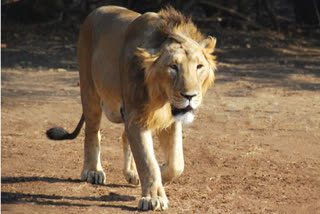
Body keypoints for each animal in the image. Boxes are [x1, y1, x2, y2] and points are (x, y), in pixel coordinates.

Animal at [47, 5, 218, 211]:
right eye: (173, 67)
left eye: (199, 66)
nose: (190, 96)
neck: (161, 97)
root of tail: (96, 11)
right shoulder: (136, 116)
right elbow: (147, 161)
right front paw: (154, 198)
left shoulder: (168, 119)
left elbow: (177, 164)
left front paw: (158, 174)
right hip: (89, 90)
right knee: (92, 132)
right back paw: (92, 171)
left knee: (123, 136)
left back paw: (131, 173)